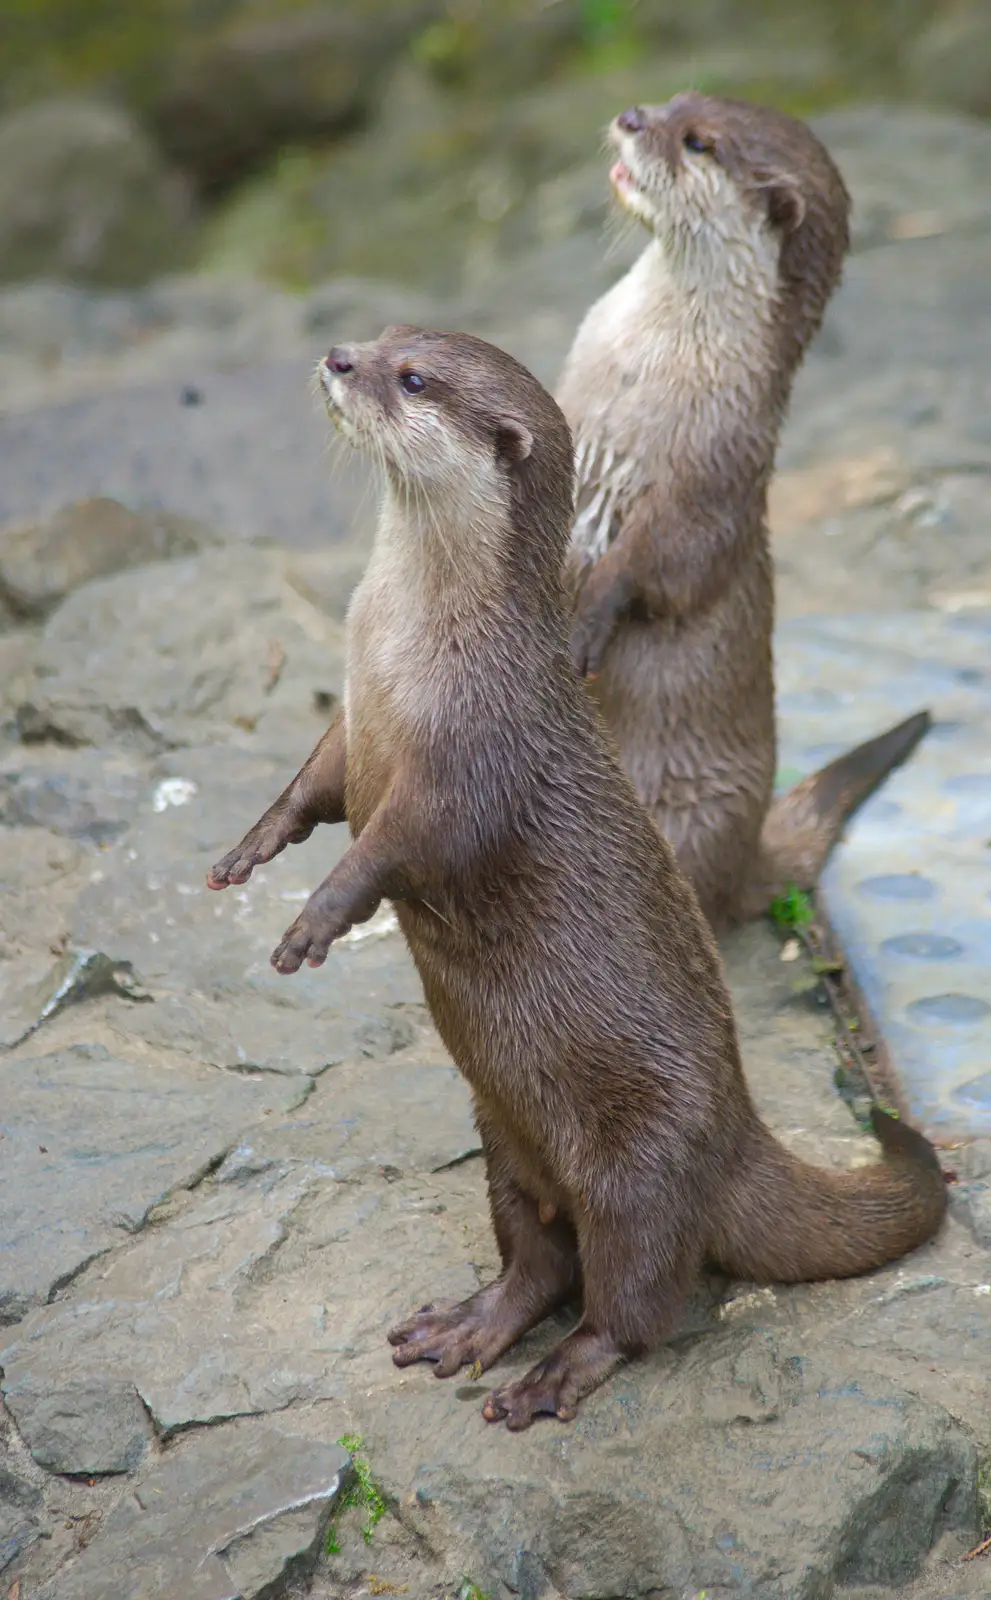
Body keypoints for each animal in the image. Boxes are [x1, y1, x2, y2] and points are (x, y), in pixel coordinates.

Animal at [204, 324, 947, 1427]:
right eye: (383, 336)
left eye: (411, 378)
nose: (337, 357)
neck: (402, 640)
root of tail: (740, 1138)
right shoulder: (354, 720)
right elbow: (316, 786)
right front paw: (252, 846)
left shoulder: (472, 753)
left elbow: (396, 845)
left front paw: (316, 920)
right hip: (500, 1134)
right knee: (539, 1260)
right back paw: (473, 1323)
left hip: (640, 1163)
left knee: (634, 1298)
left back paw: (552, 1377)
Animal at [557, 93, 928, 934]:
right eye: (673, 103)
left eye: (697, 143)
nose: (632, 117)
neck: (641, 371)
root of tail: (749, 850)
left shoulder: (717, 467)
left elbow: (672, 564)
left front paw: (592, 611)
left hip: (690, 813)